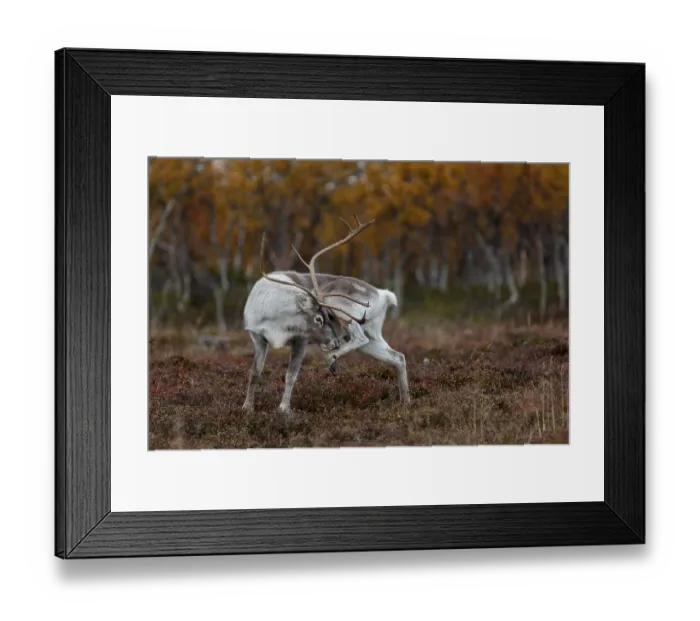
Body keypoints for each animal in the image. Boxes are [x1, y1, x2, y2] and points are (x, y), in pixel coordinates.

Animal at [242, 214, 410, 416]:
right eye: (319, 318)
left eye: (328, 317)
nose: (335, 342)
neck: (272, 314)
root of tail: (383, 295)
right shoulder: (258, 338)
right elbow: (254, 373)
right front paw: (247, 407)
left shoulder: (300, 339)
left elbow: (291, 374)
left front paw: (283, 409)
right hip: (373, 338)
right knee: (398, 357)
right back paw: (405, 401)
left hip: (340, 305)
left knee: (360, 337)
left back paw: (331, 358)